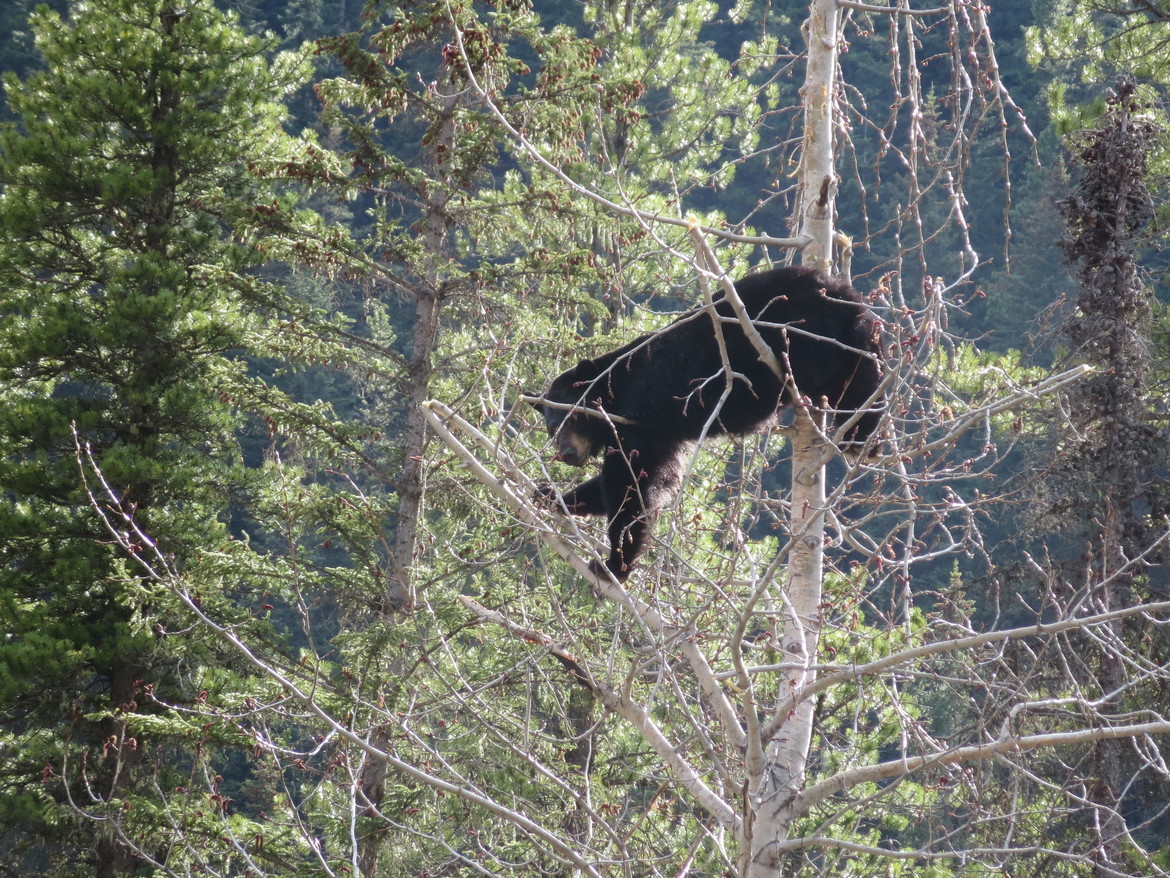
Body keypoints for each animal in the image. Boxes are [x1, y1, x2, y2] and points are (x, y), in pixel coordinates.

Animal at [531, 264, 884, 581]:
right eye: (551, 428)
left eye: (574, 416)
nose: (567, 453)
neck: (617, 390)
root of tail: (840, 290)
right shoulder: (660, 435)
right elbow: (658, 480)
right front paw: (552, 496)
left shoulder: (636, 422)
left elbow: (630, 487)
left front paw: (613, 566)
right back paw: (866, 441)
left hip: (807, 335)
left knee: (851, 381)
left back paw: (857, 438)